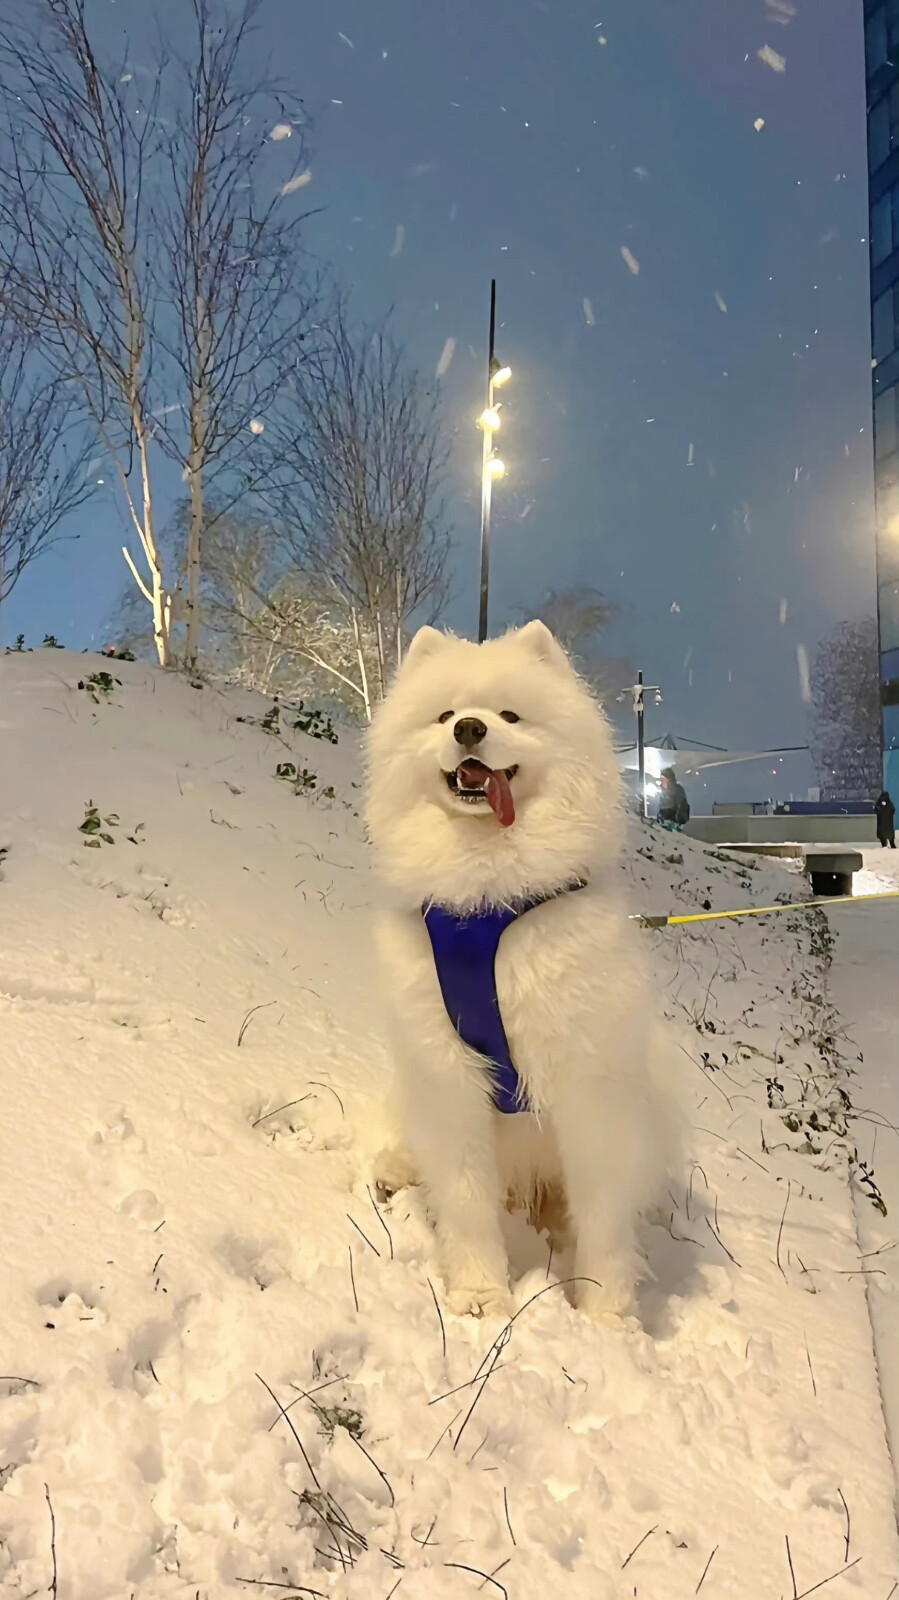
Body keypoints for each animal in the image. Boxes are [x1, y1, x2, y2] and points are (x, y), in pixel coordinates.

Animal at [364, 617, 671, 1318]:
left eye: (509, 715)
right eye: (444, 715)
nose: (469, 728)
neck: (488, 898)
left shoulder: (589, 1088)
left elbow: (604, 1216)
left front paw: (607, 1315)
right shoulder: (449, 1075)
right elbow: (466, 1199)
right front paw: (481, 1294)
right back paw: (395, 1171)